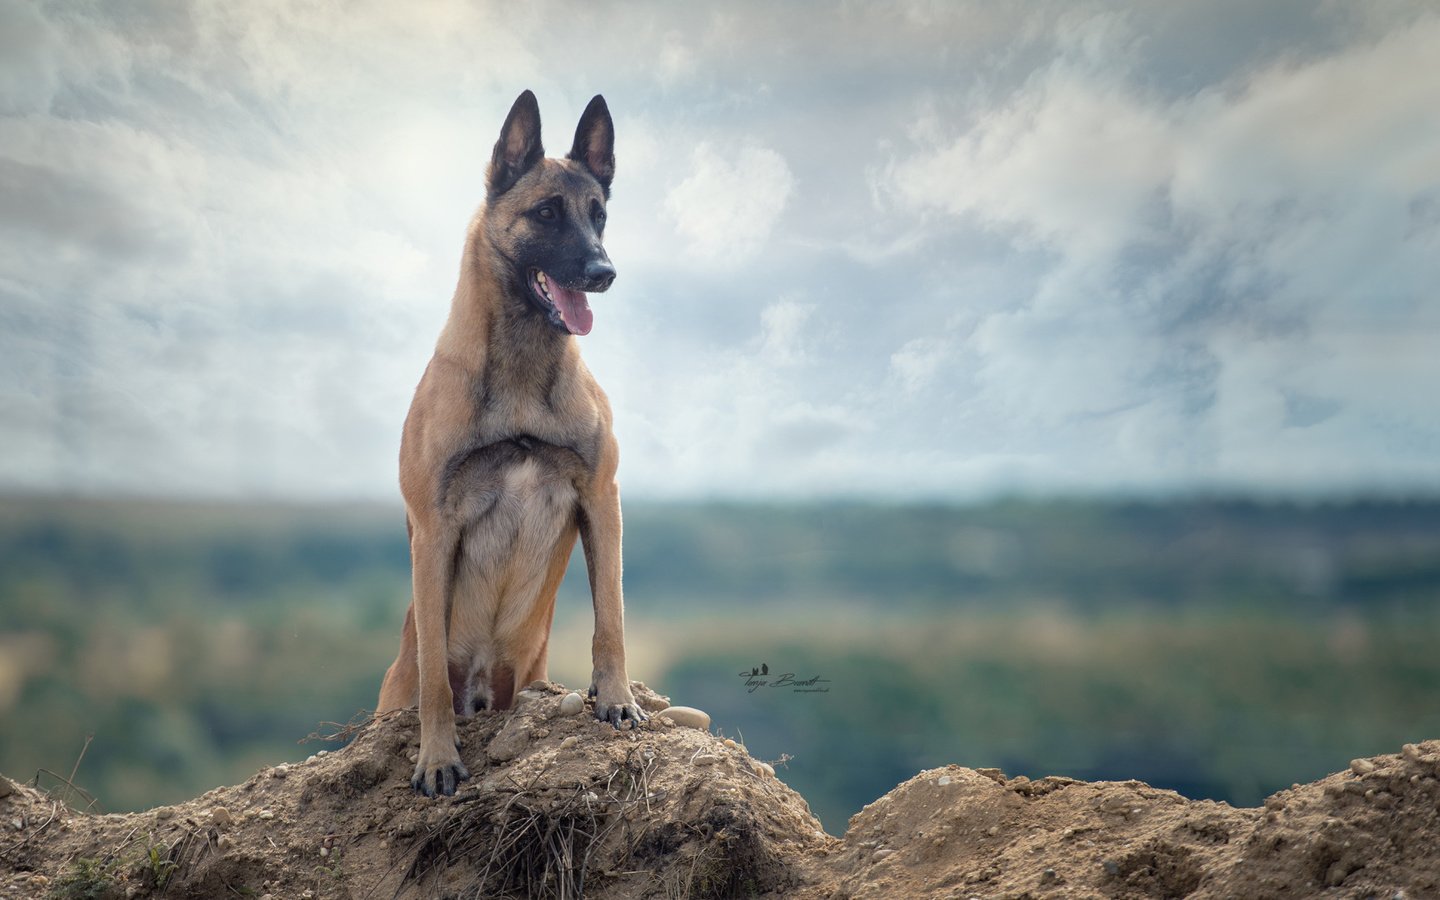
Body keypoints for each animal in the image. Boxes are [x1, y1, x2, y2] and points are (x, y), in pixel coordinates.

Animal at [377, 89, 648, 794]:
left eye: (599, 215)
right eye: (546, 212)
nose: (604, 272)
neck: (525, 370)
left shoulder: (601, 499)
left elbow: (610, 620)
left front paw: (615, 700)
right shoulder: (434, 527)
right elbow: (434, 683)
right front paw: (437, 757)